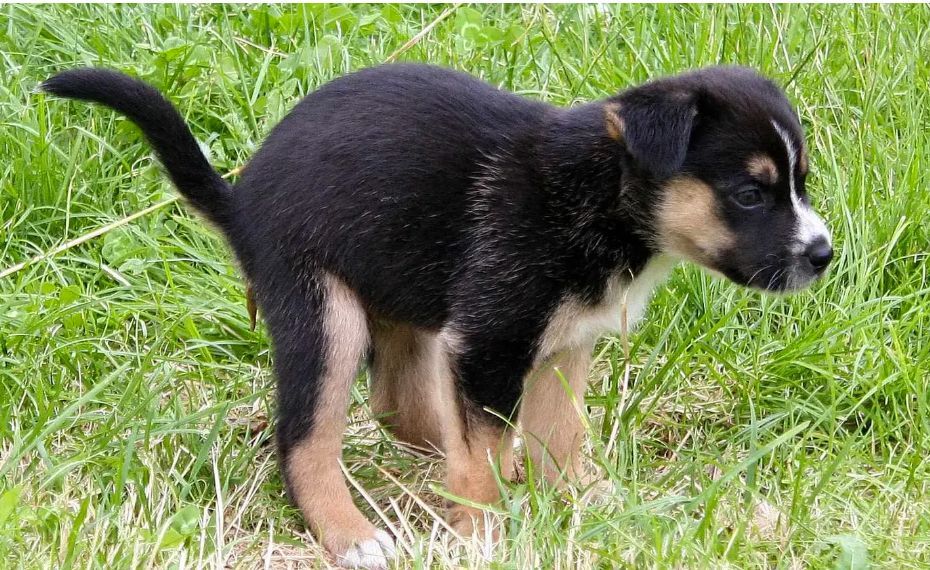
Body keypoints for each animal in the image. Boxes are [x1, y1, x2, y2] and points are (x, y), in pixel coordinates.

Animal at [43, 63, 832, 569]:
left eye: (799, 183)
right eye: (751, 194)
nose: (823, 255)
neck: (603, 190)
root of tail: (241, 203)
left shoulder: (563, 346)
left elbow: (559, 438)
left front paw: (590, 502)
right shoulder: (490, 343)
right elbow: (482, 456)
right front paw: (484, 537)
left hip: (405, 310)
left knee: (403, 409)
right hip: (324, 315)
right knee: (304, 441)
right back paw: (351, 535)